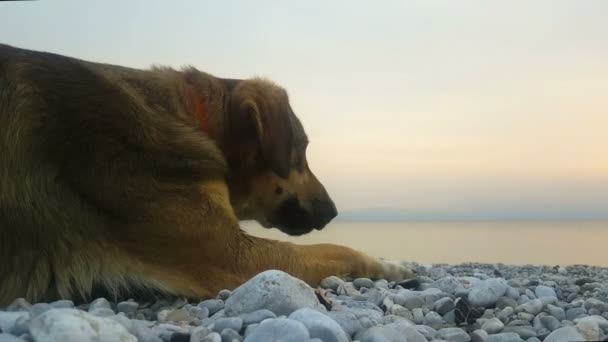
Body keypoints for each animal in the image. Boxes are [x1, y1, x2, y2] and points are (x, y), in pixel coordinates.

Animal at [0, 44, 414, 304]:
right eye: (302, 150)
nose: (333, 211)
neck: (190, 119)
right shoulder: (234, 258)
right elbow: (336, 249)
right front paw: (387, 265)